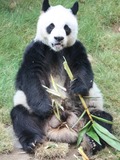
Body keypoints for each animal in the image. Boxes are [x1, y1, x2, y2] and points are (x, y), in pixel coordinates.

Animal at [10, 0, 112, 156]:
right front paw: (45, 107)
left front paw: (77, 88)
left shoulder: (75, 49)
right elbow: (30, 78)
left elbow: (84, 70)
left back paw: (94, 142)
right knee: (22, 117)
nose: (59, 38)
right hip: (29, 110)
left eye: (66, 28)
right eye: (51, 26)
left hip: (87, 110)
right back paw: (33, 142)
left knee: (101, 120)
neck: (56, 51)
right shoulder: (36, 50)